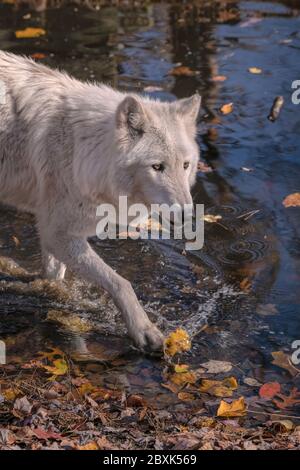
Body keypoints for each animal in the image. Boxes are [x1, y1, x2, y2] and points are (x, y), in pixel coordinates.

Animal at [0, 51, 202, 352]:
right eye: (157, 167)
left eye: (186, 165)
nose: (188, 215)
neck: (82, 149)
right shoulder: (58, 233)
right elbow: (121, 282)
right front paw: (143, 329)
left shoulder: (54, 233)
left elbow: (54, 277)